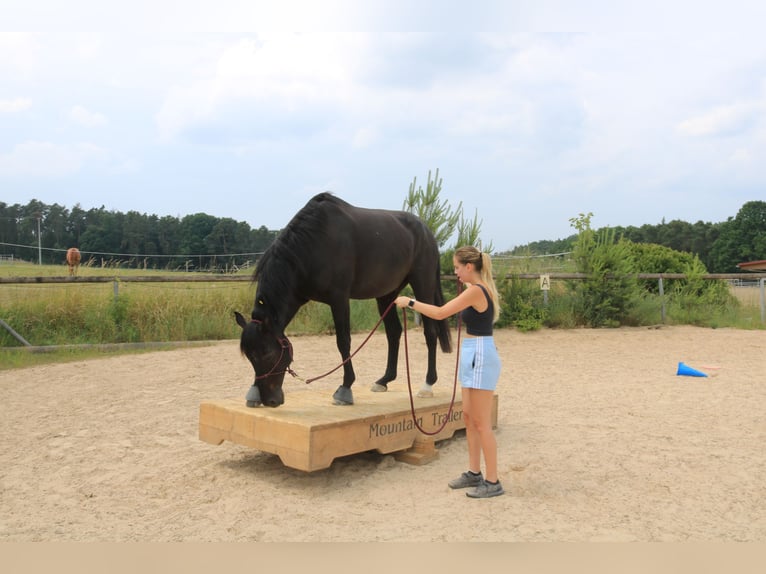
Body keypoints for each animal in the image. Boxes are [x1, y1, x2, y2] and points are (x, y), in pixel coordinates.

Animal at [235, 192, 453, 408]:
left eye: (268, 354)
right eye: (250, 356)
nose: (270, 401)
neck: (312, 245)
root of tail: (426, 231)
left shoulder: (339, 299)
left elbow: (343, 341)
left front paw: (345, 388)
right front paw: (253, 393)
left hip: (422, 285)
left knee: (430, 332)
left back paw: (427, 384)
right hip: (387, 294)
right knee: (394, 332)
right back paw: (384, 380)